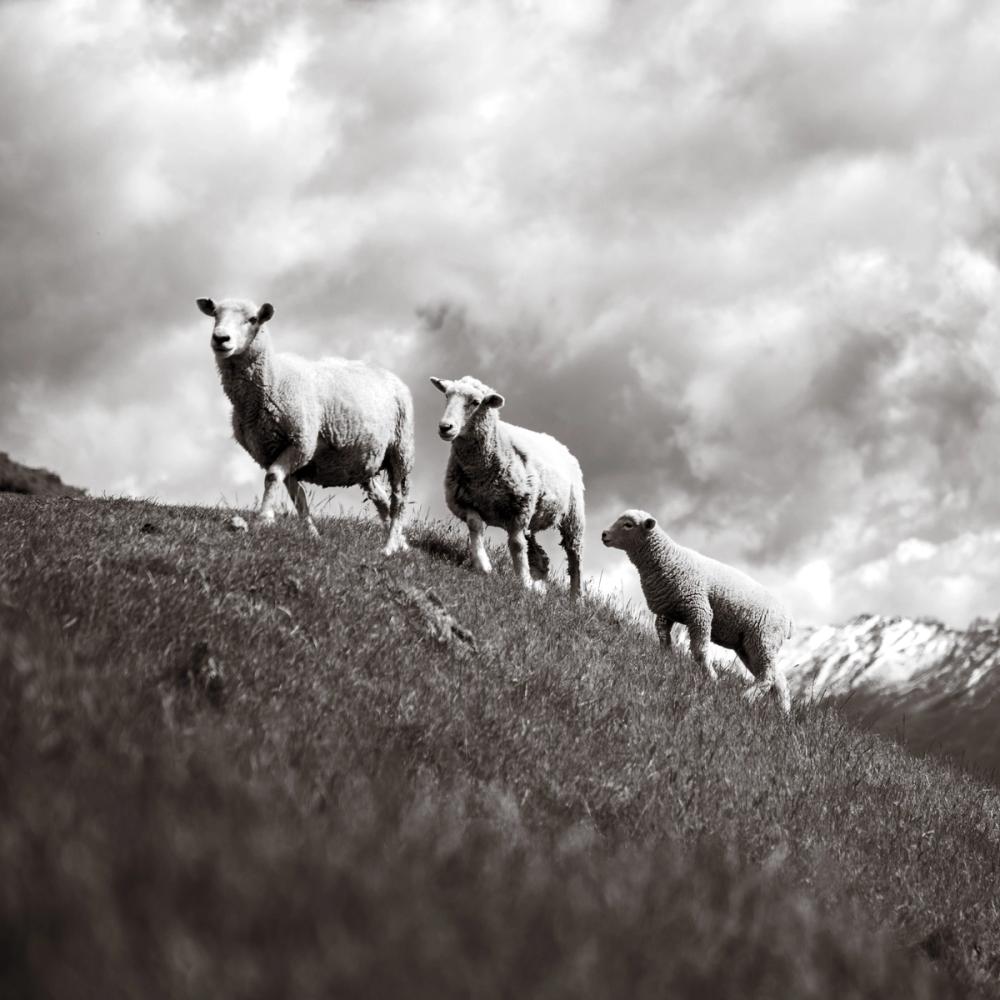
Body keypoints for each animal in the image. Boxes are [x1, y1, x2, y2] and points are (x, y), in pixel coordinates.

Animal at [197, 297, 413, 554]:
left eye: (253, 319)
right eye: (215, 314)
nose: (220, 338)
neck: (273, 380)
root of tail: (389, 375)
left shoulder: (302, 441)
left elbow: (272, 477)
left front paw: (264, 518)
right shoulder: (272, 451)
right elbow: (296, 494)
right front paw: (311, 533)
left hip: (401, 449)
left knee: (399, 500)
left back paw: (389, 546)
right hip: (365, 460)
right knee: (381, 499)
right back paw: (401, 543)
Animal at [430, 375, 585, 597]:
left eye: (476, 402)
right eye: (446, 395)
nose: (445, 427)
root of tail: (558, 443)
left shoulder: (519, 509)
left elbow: (516, 545)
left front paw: (523, 581)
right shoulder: (461, 502)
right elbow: (475, 525)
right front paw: (483, 565)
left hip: (574, 515)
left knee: (574, 556)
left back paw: (575, 597)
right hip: (535, 517)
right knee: (540, 556)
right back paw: (540, 585)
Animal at [601, 509, 793, 713]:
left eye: (628, 525)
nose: (604, 534)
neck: (667, 559)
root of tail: (788, 620)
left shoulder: (699, 610)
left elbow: (700, 650)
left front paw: (711, 678)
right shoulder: (667, 612)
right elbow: (663, 637)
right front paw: (666, 659)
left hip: (763, 639)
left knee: (769, 676)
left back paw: (747, 697)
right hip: (750, 646)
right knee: (778, 679)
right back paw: (783, 712)